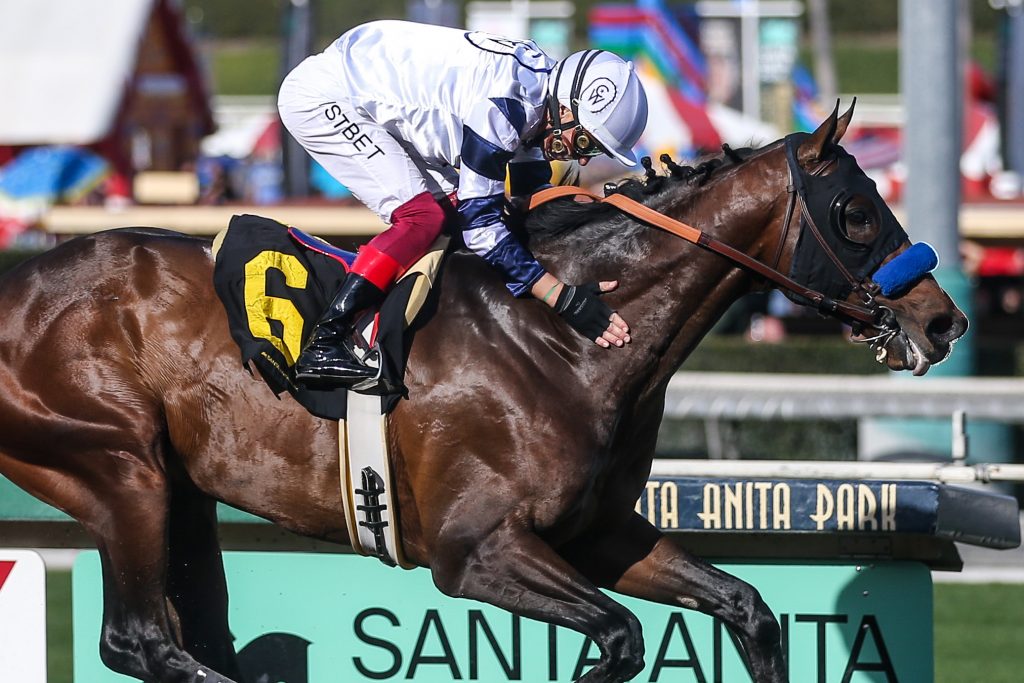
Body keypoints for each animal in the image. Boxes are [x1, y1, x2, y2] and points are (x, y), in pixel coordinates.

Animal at [0, 107, 966, 683]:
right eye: (856, 213)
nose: (944, 319)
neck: (566, 337)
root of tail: (20, 282)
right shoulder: (476, 548)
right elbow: (618, 636)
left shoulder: (600, 531)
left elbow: (749, 609)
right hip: (118, 465)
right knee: (140, 639)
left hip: (182, 490)